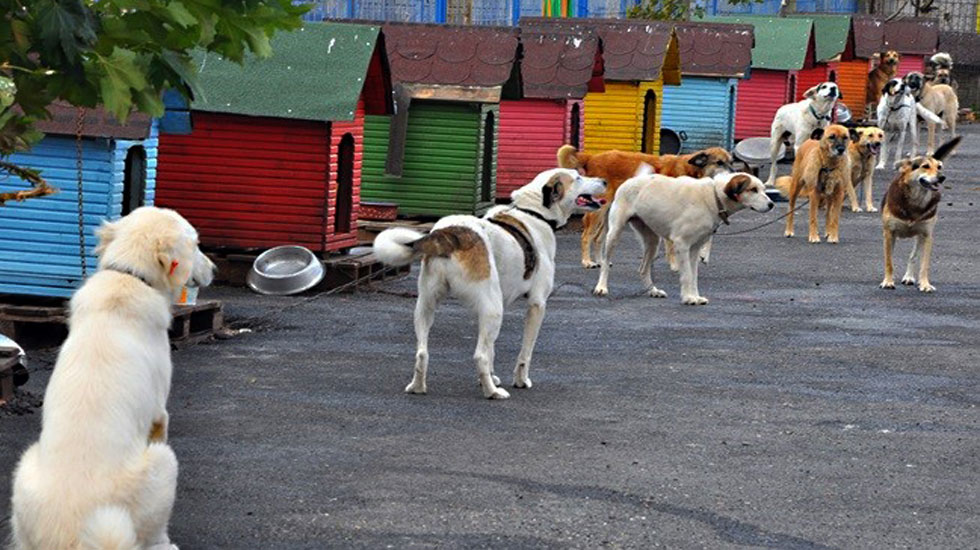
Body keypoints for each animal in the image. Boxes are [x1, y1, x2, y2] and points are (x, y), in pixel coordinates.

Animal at [10, 207, 213, 550]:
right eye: (196, 244)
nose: (213, 268)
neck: (129, 275)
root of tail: (70, 539)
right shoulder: (159, 415)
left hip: (24, 469)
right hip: (162, 462)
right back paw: (165, 544)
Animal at [374, 168, 604, 402]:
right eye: (577, 178)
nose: (604, 181)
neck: (534, 213)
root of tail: (450, 233)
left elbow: (492, 348)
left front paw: (492, 376)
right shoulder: (537, 305)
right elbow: (525, 352)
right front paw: (520, 381)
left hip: (427, 306)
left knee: (422, 352)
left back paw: (418, 386)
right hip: (493, 309)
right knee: (479, 356)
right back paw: (492, 392)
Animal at [556, 146, 732, 268]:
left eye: (731, 162)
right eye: (719, 163)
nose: (733, 174)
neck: (693, 172)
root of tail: (592, 157)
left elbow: (708, 237)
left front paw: (703, 255)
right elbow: (671, 245)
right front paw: (675, 265)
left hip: (609, 213)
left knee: (599, 238)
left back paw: (601, 261)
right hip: (598, 211)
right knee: (586, 236)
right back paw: (587, 261)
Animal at [588, 174, 772, 306]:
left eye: (763, 189)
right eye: (753, 189)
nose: (771, 205)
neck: (714, 197)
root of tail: (630, 180)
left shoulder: (695, 248)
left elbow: (694, 276)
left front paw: (695, 296)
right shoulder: (682, 245)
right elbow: (687, 275)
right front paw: (688, 298)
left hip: (653, 242)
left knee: (643, 269)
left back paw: (652, 290)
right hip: (614, 234)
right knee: (605, 263)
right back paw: (601, 287)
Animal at [876, 137, 960, 294]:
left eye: (939, 167)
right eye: (925, 166)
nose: (942, 177)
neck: (916, 199)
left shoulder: (927, 236)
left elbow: (924, 264)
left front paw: (925, 284)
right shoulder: (889, 233)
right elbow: (889, 261)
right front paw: (888, 282)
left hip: (919, 236)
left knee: (913, 256)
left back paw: (909, 277)